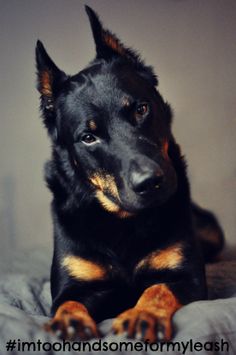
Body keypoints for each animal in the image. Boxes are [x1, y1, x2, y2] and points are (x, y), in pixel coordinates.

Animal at [35, 5, 223, 344]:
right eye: (88, 137)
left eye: (141, 109)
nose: (150, 183)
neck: (122, 220)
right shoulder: (74, 285)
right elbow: (67, 303)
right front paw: (70, 322)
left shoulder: (186, 277)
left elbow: (156, 288)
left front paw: (141, 316)